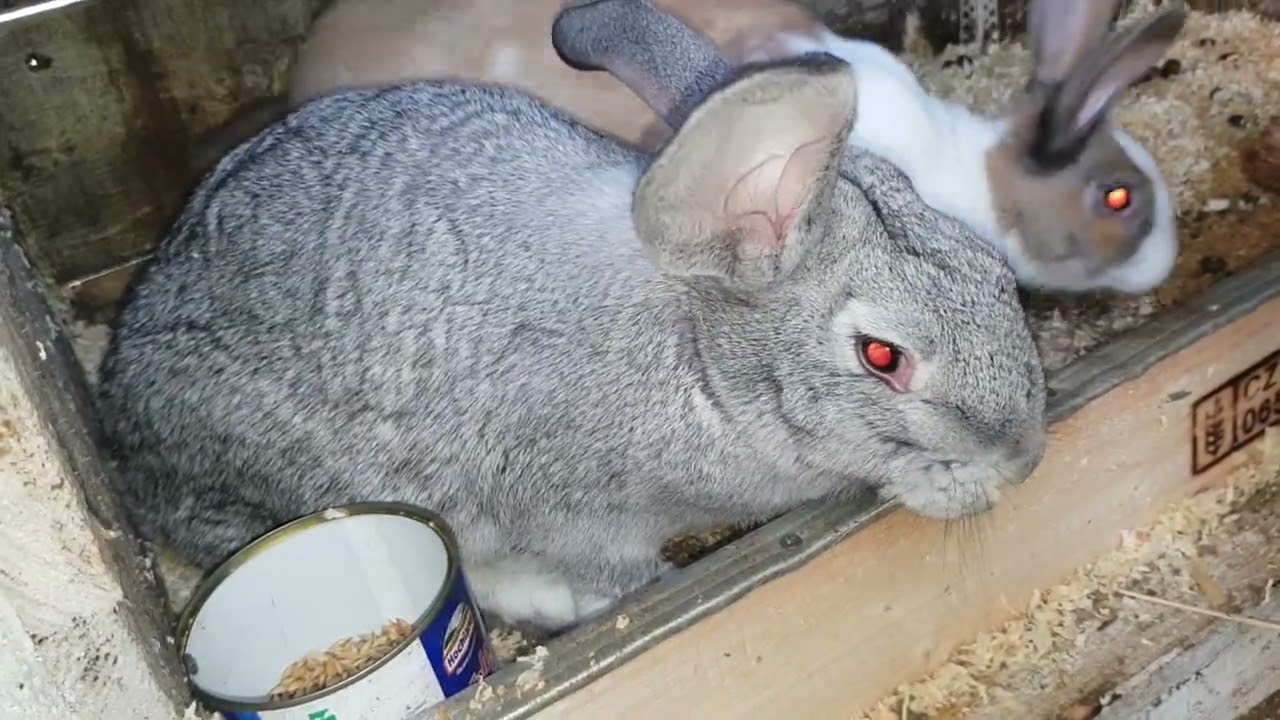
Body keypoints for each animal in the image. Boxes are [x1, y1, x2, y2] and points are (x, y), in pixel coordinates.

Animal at [96, 0, 1047, 633]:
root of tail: (122, 423)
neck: (699, 361)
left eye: (994, 269)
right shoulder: (575, 509)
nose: (1026, 459)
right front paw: (611, 597)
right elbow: (610, 565)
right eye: (884, 358)